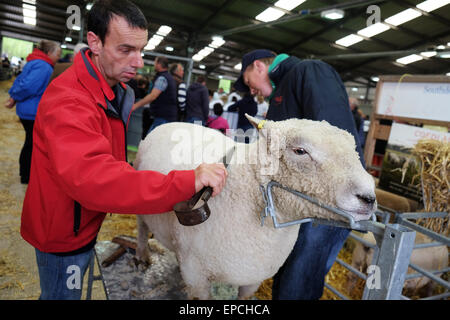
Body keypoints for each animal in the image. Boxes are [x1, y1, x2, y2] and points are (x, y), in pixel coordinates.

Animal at [134, 115, 376, 300]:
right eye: (300, 151)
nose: (369, 198)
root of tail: (171, 122)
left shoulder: (254, 278)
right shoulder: (196, 276)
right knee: (142, 228)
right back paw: (142, 255)